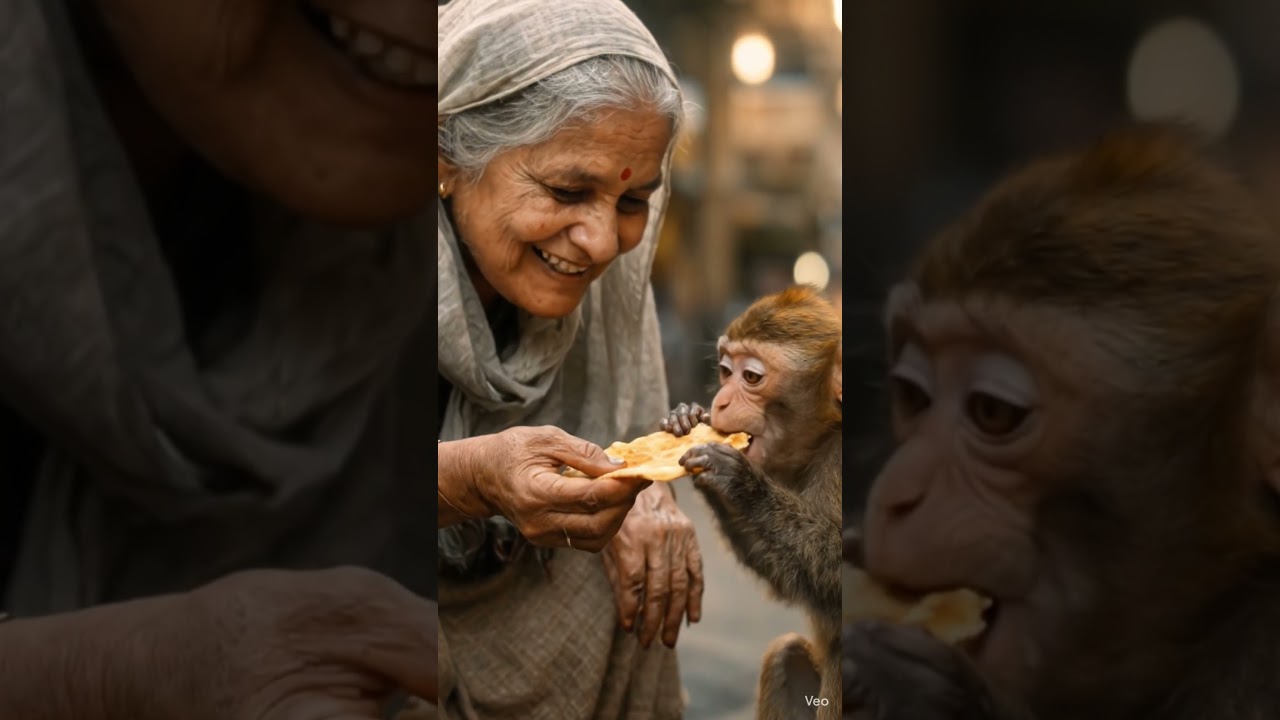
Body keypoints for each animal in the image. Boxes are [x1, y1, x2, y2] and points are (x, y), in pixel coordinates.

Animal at [662, 285, 843, 720]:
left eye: (752, 377)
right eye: (726, 371)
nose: (720, 402)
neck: (828, 434)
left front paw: (739, 481)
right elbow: (788, 576)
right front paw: (685, 420)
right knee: (786, 655)